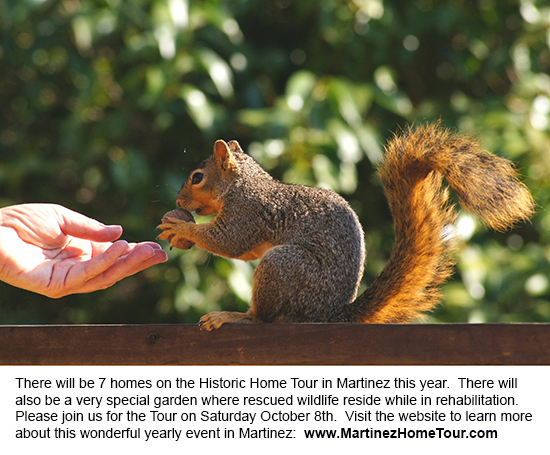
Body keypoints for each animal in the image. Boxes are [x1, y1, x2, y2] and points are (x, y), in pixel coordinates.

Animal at [157, 124, 536, 332]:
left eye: (197, 177)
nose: (178, 197)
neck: (241, 183)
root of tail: (330, 314)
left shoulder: (248, 211)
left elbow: (230, 242)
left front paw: (181, 229)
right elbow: (244, 249)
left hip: (283, 266)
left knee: (263, 318)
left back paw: (236, 316)